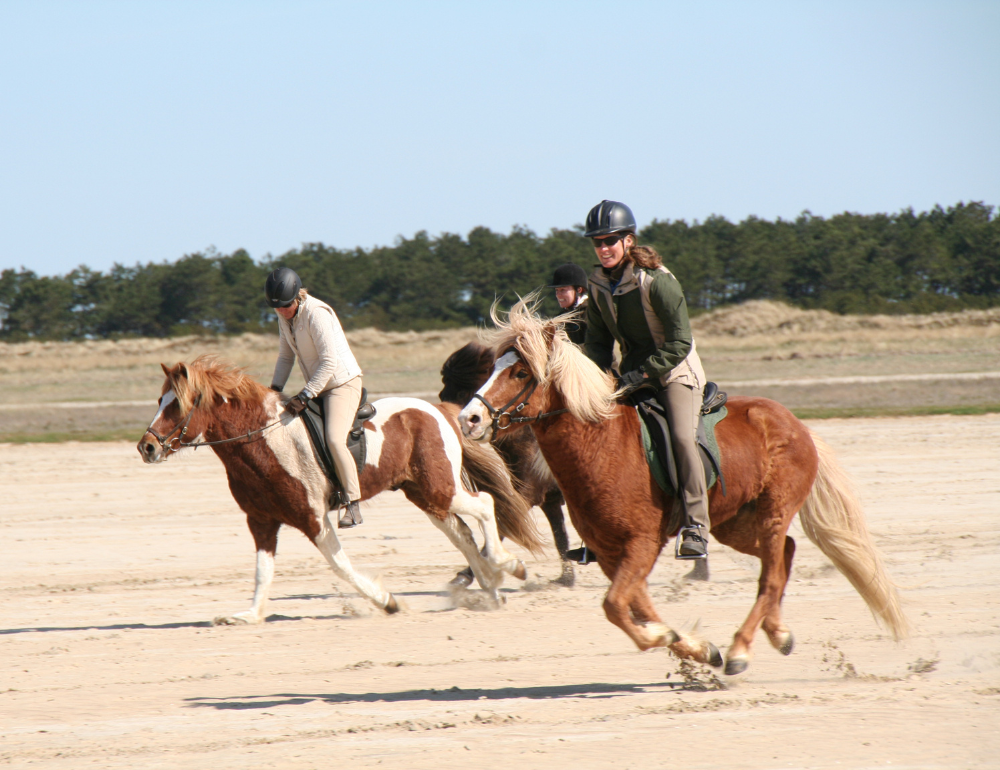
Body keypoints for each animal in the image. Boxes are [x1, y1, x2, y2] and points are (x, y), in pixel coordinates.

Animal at [137, 354, 544, 624]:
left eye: (179, 405)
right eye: (159, 401)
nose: (147, 447)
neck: (262, 440)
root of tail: (437, 410)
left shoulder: (312, 518)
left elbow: (340, 565)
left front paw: (388, 601)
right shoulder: (262, 521)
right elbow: (262, 571)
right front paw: (250, 614)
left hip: (440, 489)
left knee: (485, 505)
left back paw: (508, 566)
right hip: (427, 497)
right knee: (462, 533)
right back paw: (491, 586)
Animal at [458, 294, 912, 672]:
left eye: (520, 372)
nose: (469, 419)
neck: (601, 443)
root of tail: (796, 425)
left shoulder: (642, 543)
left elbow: (616, 606)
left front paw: (673, 639)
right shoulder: (611, 553)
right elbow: (634, 607)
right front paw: (695, 647)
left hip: (772, 512)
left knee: (771, 573)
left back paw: (742, 649)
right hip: (735, 524)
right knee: (784, 553)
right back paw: (777, 633)